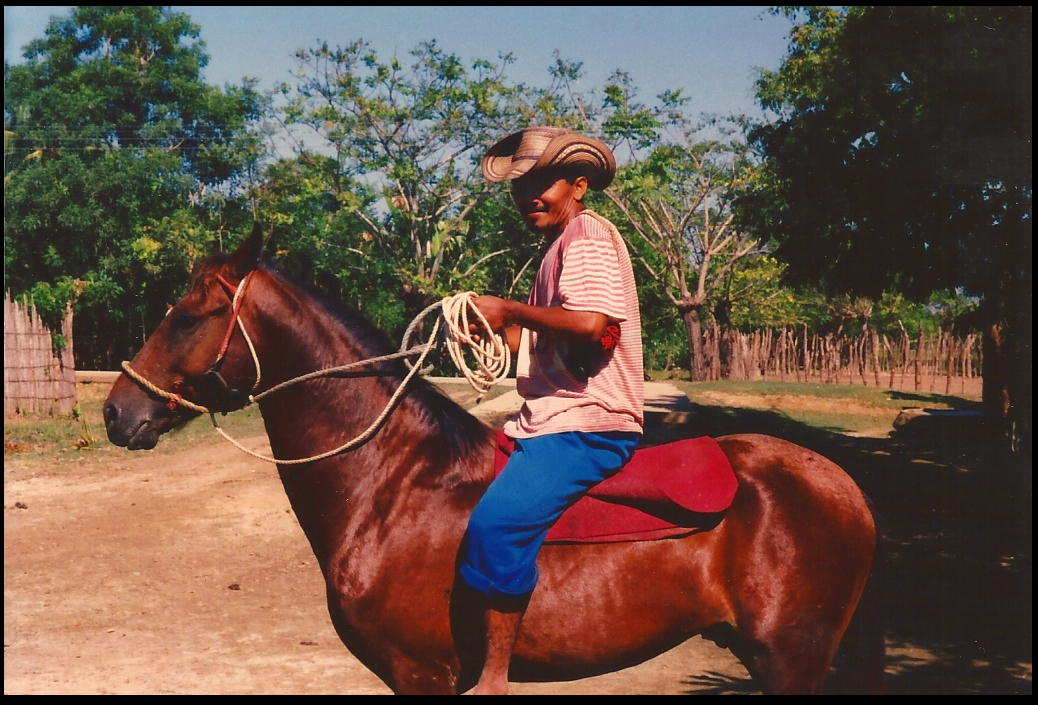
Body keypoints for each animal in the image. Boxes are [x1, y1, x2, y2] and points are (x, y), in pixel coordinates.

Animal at [105, 227, 884, 693]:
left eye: (187, 315)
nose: (117, 410)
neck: (391, 487)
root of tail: (844, 487)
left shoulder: (422, 673)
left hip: (790, 657)